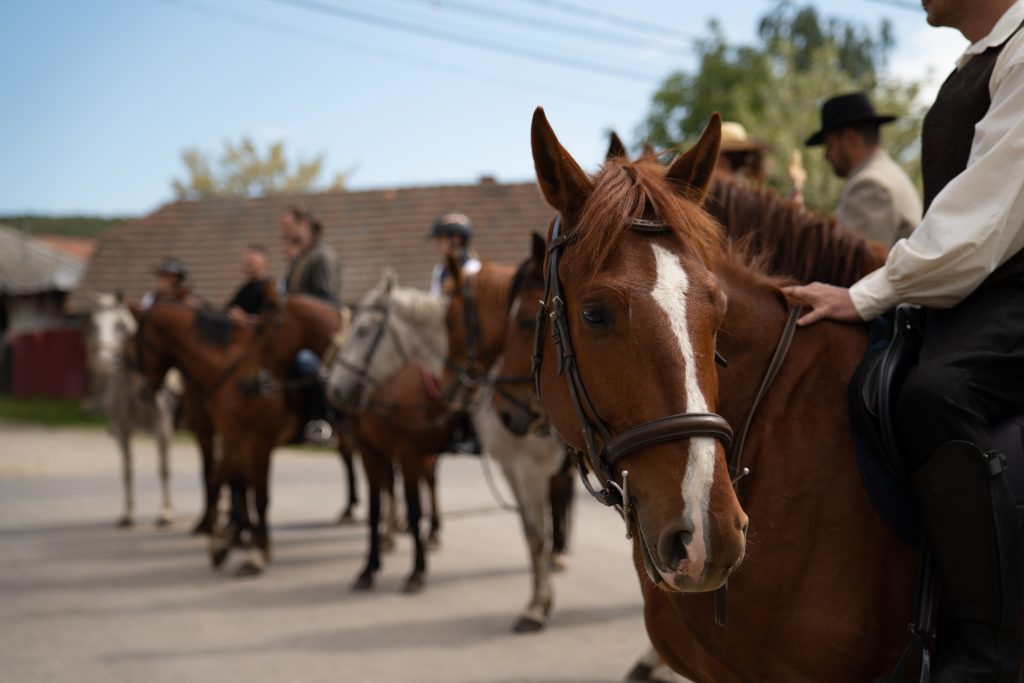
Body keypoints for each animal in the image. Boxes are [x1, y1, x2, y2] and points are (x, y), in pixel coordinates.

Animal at [85, 294, 180, 528]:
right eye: (93, 324)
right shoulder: (123, 431)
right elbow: (127, 471)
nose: (103, 362)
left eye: (119, 325)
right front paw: (127, 514)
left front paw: (166, 513)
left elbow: (164, 468)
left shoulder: (162, 429)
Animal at [133, 294, 344, 577]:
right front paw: (221, 544)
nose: (144, 391)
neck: (226, 372)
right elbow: (220, 482)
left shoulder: (257, 442)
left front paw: (257, 553)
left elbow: (259, 495)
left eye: (138, 341)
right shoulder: (233, 439)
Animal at [327, 270, 569, 634]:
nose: (335, 388)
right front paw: (370, 568)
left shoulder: (523, 466)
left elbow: (413, 509)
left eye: (364, 330)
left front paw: (413, 573)